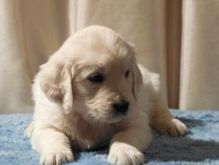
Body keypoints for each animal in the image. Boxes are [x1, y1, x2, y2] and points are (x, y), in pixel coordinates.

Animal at [26, 25, 187, 165]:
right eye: (95, 77)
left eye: (127, 73)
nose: (123, 106)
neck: (89, 118)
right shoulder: (48, 124)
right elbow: (54, 135)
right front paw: (56, 154)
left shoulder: (137, 123)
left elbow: (123, 135)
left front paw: (126, 152)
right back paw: (30, 127)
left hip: (154, 88)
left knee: (161, 111)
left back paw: (173, 125)